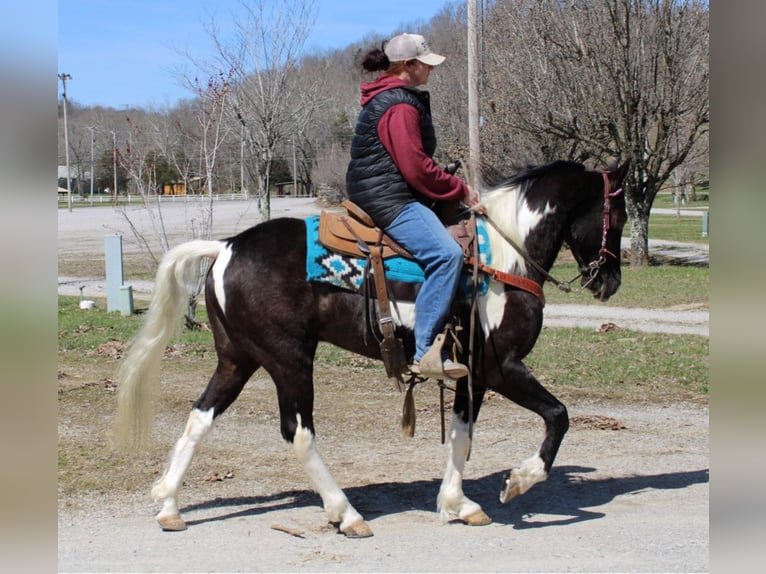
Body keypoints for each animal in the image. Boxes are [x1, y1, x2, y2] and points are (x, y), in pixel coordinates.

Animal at [114, 159, 632, 540]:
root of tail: (225, 247)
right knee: (298, 432)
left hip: (237, 360)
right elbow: (558, 416)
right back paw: (346, 513)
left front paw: (457, 504)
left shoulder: (472, 374)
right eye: (622, 215)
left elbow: (462, 436)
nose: (609, 281)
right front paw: (519, 481)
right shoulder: (502, 367)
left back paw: (168, 504)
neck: (505, 256)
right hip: (289, 360)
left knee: (200, 417)